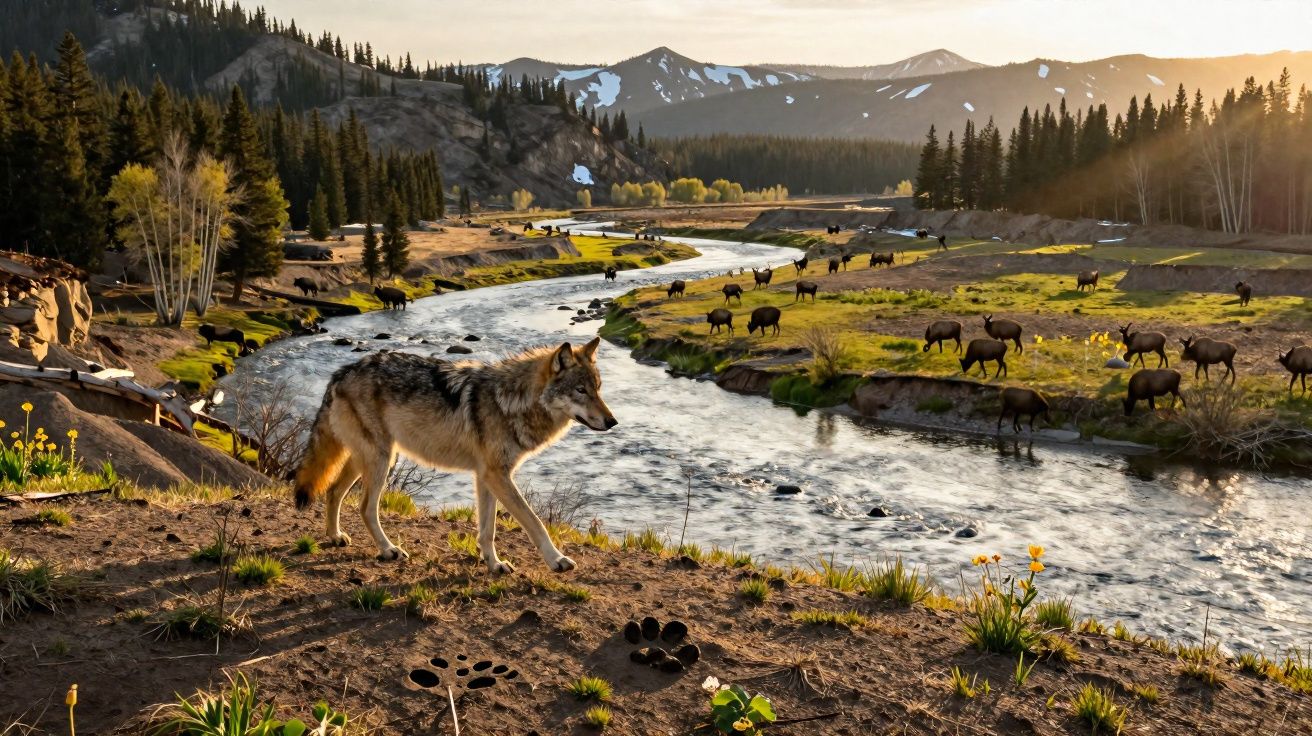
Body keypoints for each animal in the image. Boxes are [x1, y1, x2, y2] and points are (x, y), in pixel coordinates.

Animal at [293, 336, 617, 573]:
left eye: (599, 389)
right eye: (580, 390)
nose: (613, 421)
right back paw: (388, 550)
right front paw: (557, 560)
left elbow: (487, 530)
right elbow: (534, 522)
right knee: (364, 508)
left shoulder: (486, 476)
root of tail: (340, 372)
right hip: (381, 461)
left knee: (333, 491)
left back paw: (335, 536)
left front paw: (494, 564)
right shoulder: (497, 475)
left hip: (370, 458)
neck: (510, 402)